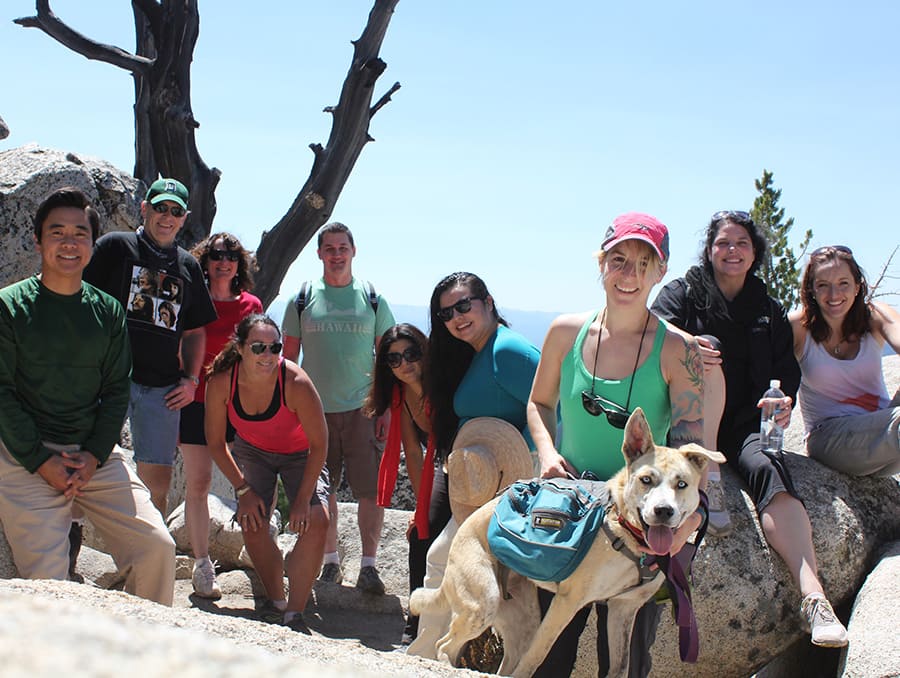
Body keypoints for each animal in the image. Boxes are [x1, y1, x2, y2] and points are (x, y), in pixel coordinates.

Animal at [408, 410, 724, 678]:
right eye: (646, 479)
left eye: (681, 484)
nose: (663, 511)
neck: (626, 534)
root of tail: (461, 530)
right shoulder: (567, 602)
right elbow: (537, 656)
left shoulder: (623, 609)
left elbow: (620, 667)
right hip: (483, 601)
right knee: (445, 645)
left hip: (522, 619)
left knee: (505, 661)